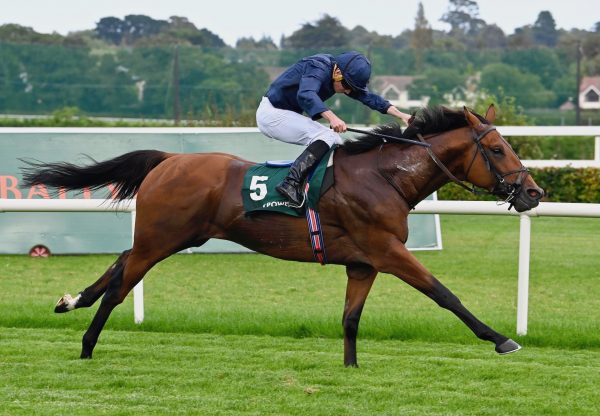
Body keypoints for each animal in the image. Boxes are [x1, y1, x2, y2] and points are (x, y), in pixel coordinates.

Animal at [21, 105, 544, 366]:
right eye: (498, 148)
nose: (533, 192)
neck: (384, 176)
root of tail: (169, 159)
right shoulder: (387, 250)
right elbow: (444, 294)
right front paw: (501, 339)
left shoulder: (363, 262)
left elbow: (350, 319)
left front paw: (351, 369)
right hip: (162, 239)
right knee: (120, 286)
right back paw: (87, 346)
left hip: (171, 236)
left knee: (119, 262)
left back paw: (71, 300)